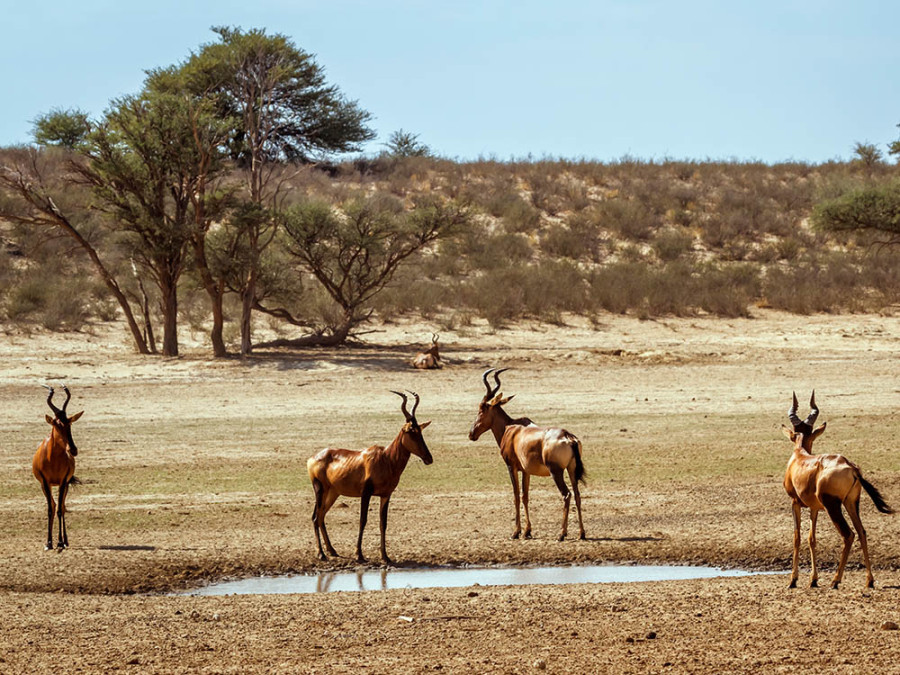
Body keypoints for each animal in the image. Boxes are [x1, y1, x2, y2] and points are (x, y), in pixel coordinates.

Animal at [33, 388, 83, 552]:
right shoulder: (45, 481)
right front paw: (48, 543)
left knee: (61, 506)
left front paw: (60, 542)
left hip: (65, 485)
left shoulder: (62, 481)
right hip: (45, 486)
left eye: (69, 423)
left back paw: (65, 541)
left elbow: (60, 510)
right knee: (54, 505)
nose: (73, 450)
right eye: (57, 424)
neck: (53, 458)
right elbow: (50, 509)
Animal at [308, 390, 434, 564]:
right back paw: (321, 554)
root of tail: (312, 458)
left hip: (333, 493)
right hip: (320, 489)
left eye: (420, 431)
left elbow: (383, 523)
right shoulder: (366, 493)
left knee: (321, 516)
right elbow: (363, 520)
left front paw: (385, 556)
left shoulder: (386, 495)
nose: (429, 458)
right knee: (315, 517)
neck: (386, 458)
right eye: (411, 431)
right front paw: (359, 555)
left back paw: (332, 551)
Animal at [468, 368, 588, 540]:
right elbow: (525, 496)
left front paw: (516, 532)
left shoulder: (511, 467)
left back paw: (561, 534)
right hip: (572, 469)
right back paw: (581, 533)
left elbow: (516, 495)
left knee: (566, 495)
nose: (471, 434)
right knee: (578, 495)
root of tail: (568, 436)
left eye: (481, 409)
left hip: (556, 471)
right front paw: (527, 531)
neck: (511, 428)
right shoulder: (526, 471)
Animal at [780, 394, 892, 588]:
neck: (800, 456)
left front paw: (793, 580)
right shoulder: (815, 507)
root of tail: (851, 467)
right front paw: (813, 579)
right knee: (862, 531)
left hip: (833, 506)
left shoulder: (795, 503)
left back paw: (835, 580)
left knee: (849, 534)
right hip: (851, 503)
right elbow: (811, 539)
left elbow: (797, 537)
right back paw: (869, 580)